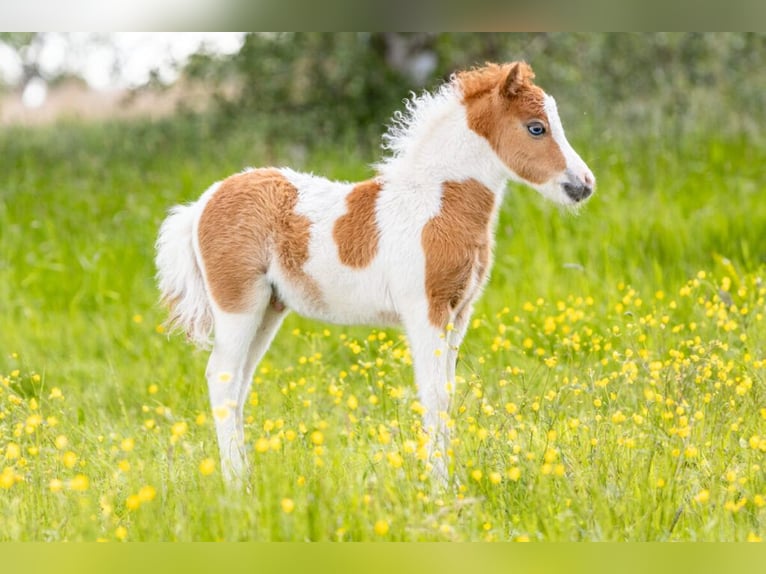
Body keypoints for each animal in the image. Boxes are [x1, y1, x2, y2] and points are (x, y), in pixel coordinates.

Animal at [155, 61, 595, 483]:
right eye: (536, 127)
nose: (584, 185)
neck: (435, 204)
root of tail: (201, 204)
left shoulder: (459, 313)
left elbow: (449, 394)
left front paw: (450, 481)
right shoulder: (426, 310)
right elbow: (433, 394)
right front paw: (440, 489)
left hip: (268, 309)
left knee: (239, 384)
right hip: (238, 305)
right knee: (222, 377)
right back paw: (236, 486)